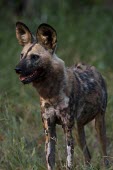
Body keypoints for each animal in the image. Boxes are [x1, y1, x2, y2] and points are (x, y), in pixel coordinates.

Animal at [14, 21, 108, 169]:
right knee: (87, 156)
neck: (51, 93)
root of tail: (90, 67)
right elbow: (50, 160)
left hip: (98, 124)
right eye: (21, 55)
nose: (17, 69)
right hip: (78, 129)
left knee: (105, 155)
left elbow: (69, 162)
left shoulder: (67, 129)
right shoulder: (49, 131)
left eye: (34, 57)